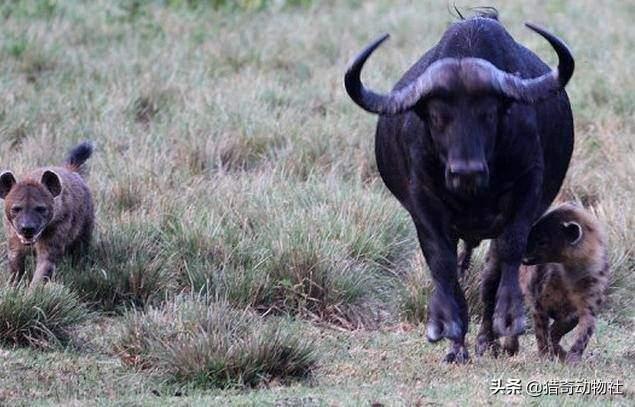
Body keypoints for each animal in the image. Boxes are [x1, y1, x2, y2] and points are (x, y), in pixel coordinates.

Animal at [346, 12, 572, 364]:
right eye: (438, 116)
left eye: (489, 113)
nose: (467, 171)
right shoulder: (423, 202)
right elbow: (442, 263)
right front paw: (448, 328)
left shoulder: (528, 189)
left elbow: (510, 249)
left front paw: (509, 318)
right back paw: (461, 346)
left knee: (491, 271)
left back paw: (488, 340)